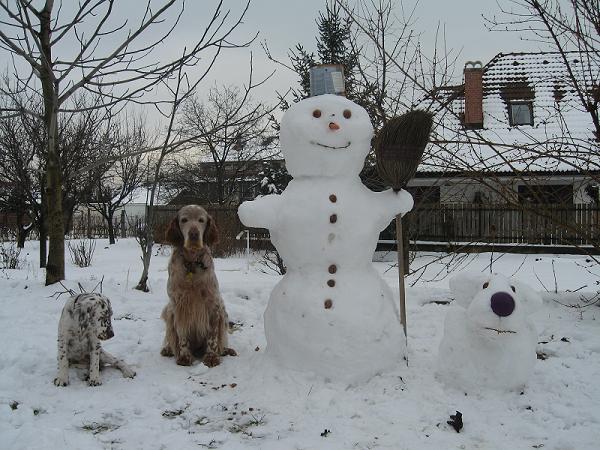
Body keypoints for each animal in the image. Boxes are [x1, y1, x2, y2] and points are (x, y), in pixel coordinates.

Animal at [161, 206, 236, 368]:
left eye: (201, 220)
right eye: (184, 220)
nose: (194, 234)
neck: (192, 263)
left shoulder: (213, 305)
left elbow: (212, 337)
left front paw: (212, 357)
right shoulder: (178, 305)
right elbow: (182, 335)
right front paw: (184, 356)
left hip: (224, 314)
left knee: (222, 341)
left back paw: (226, 350)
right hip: (169, 312)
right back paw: (168, 349)